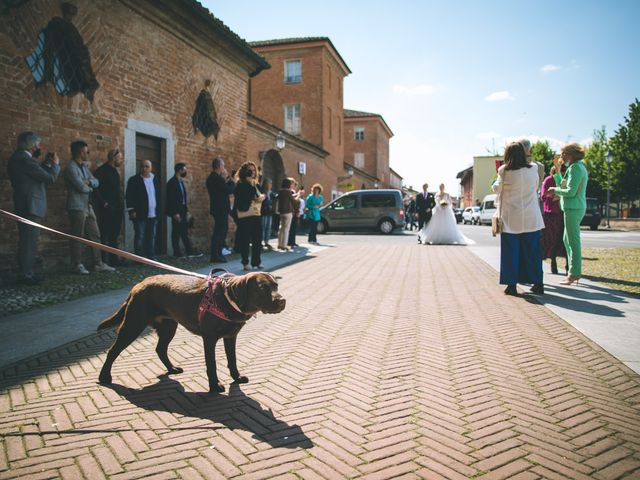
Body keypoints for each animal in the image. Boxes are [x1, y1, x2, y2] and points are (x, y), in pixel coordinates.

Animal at [97, 272, 284, 392]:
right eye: (262, 288)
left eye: (276, 286)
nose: (283, 301)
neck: (228, 299)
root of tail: (137, 285)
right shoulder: (209, 338)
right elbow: (211, 365)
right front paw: (214, 387)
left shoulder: (231, 337)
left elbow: (233, 360)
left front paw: (236, 378)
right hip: (133, 324)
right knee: (113, 351)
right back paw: (104, 377)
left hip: (168, 326)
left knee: (160, 349)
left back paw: (172, 369)